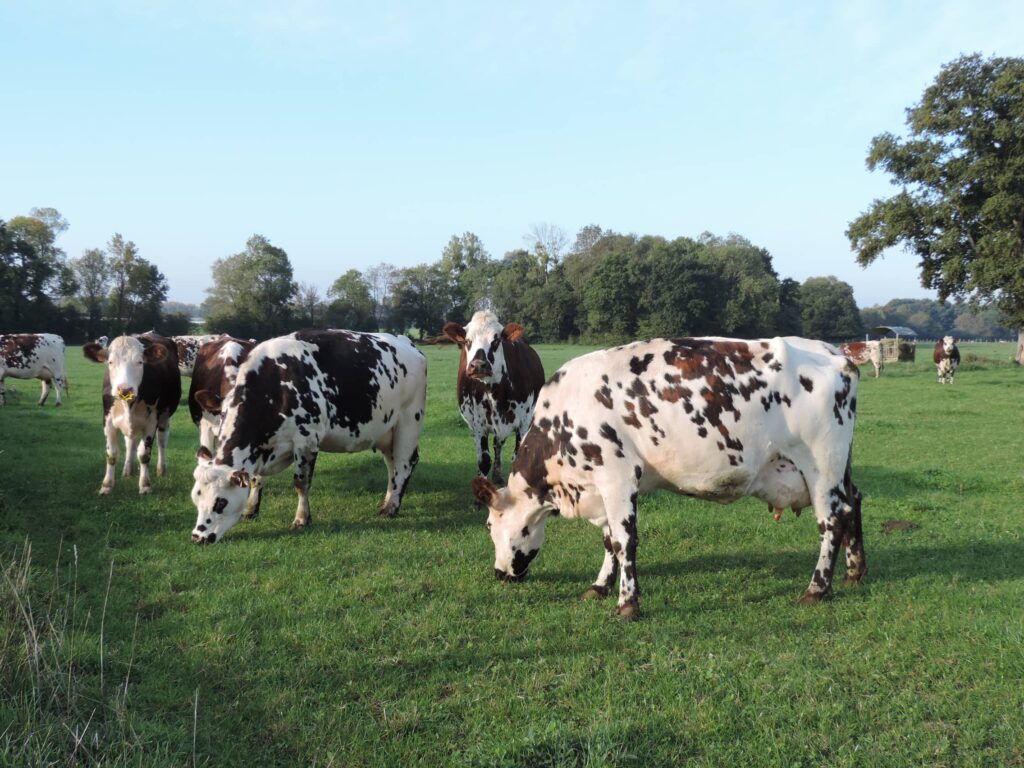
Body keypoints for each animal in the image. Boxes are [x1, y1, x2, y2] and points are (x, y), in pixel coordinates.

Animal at [83, 333, 181, 494]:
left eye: (140, 362)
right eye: (110, 362)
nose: (125, 389)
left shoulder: (151, 422)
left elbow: (144, 454)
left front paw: (145, 485)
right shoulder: (108, 421)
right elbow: (112, 454)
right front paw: (107, 485)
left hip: (165, 416)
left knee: (161, 441)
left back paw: (161, 469)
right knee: (130, 443)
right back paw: (127, 470)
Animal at [189, 329, 427, 544]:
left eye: (220, 502)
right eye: (196, 498)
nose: (198, 537)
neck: (275, 385)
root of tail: (407, 343)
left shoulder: (306, 440)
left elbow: (301, 482)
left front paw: (301, 519)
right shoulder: (263, 446)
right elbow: (256, 478)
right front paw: (250, 509)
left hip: (408, 421)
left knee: (405, 464)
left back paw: (391, 507)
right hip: (387, 432)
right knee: (392, 466)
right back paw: (387, 501)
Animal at [442, 311, 545, 484]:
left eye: (496, 340)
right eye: (468, 341)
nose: (478, 365)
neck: (495, 392)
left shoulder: (524, 422)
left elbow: (517, 459)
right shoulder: (479, 424)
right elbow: (484, 460)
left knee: (498, 444)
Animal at [472, 336, 865, 620]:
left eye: (491, 525)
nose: (498, 573)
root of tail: (834, 353)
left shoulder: (617, 478)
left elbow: (624, 541)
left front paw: (627, 604)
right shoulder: (601, 487)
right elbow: (609, 540)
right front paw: (600, 586)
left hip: (821, 466)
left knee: (833, 520)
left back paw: (817, 588)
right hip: (839, 467)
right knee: (854, 502)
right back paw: (854, 571)